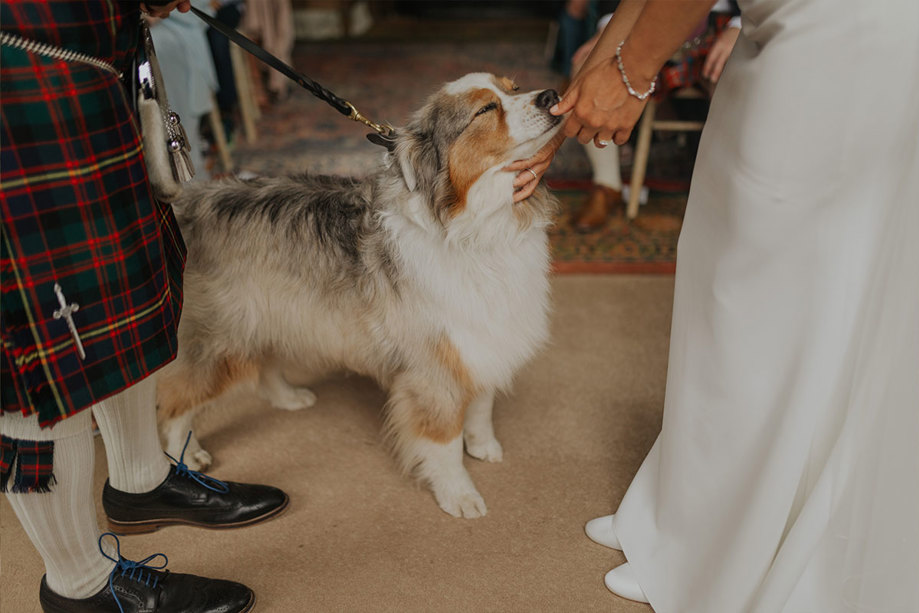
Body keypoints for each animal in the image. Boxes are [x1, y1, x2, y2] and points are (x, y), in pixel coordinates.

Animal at [156, 74, 560, 520]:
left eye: (514, 87)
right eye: (485, 110)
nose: (552, 96)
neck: (477, 225)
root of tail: (188, 202)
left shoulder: (483, 339)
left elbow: (481, 406)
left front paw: (483, 444)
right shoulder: (432, 366)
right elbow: (444, 442)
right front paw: (459, 493)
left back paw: (288, 397)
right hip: (220, 341)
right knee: (173, 404)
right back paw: (185, 461)